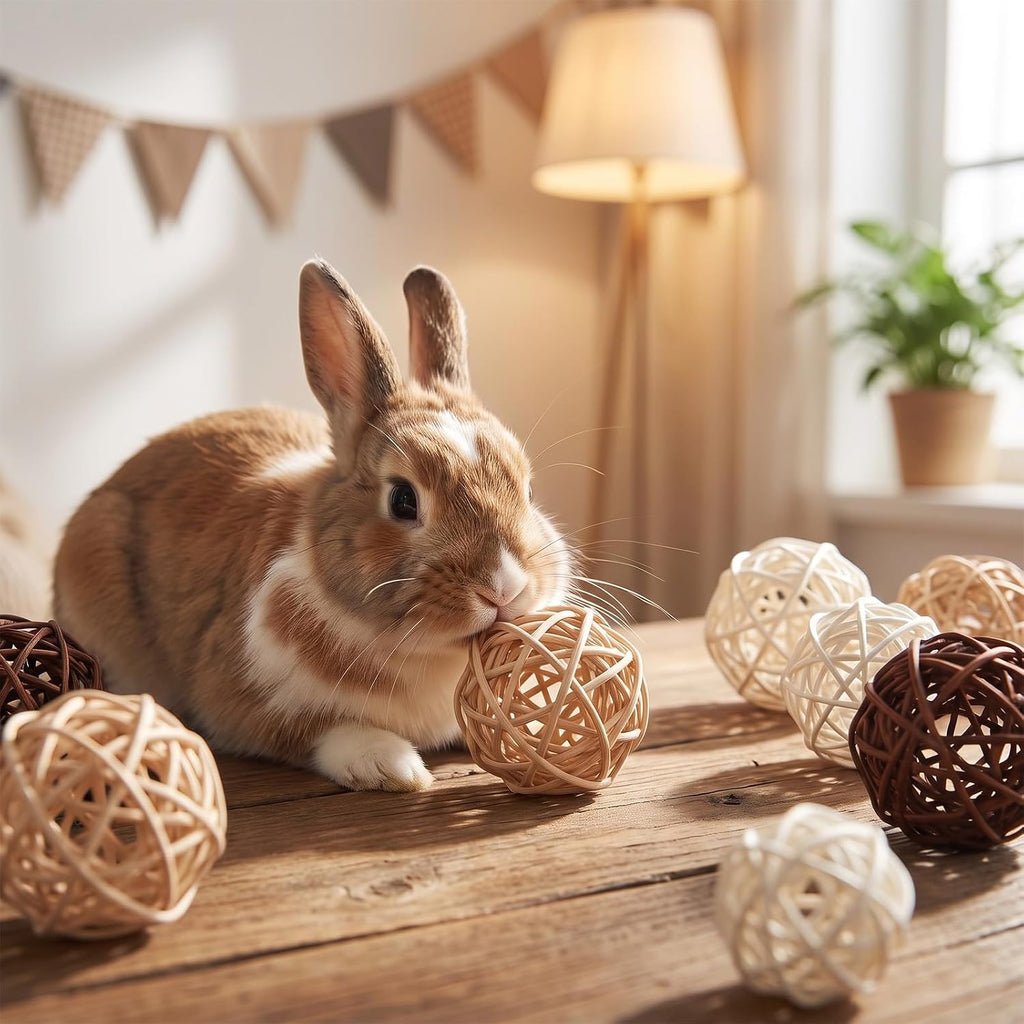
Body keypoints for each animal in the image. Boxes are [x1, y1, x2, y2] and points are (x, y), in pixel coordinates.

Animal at [54, 259, 570, 792]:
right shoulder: (242, 701)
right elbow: (319, 731)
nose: (504, 587)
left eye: (528, 491)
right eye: (403, 500)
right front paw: (392, 766)